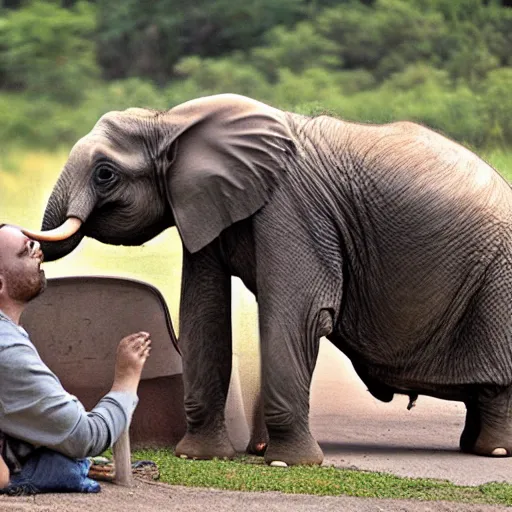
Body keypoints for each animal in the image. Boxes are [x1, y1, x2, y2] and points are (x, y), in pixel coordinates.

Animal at [25, 94, 512, 466]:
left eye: (105, 174)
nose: (29, 251)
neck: (171, 122)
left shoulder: (293, 206)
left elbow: (300, 314)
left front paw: (286, 463)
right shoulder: (206, 204)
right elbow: (202, 312)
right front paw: (199, 456)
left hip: (499, 281)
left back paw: (494, 452)